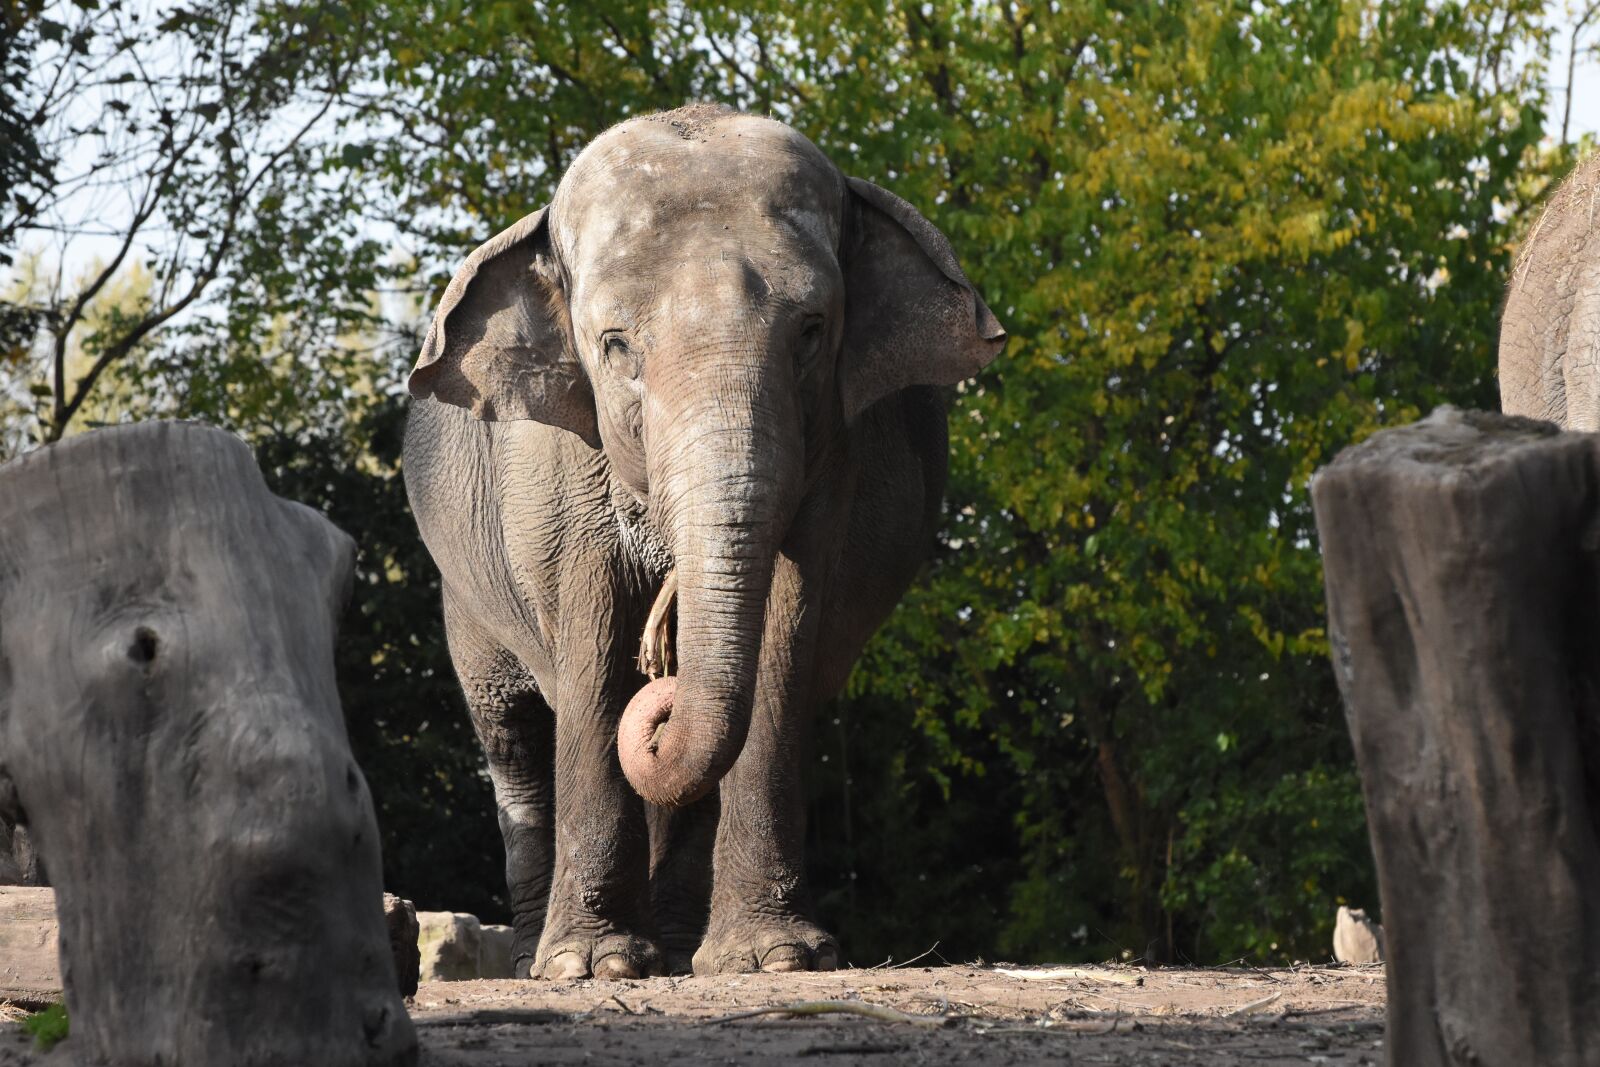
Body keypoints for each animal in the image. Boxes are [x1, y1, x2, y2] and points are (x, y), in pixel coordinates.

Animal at [404, 102, 1006, 979]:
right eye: (615, 344)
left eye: (812, 330)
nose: (666, 671)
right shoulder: (554, 469)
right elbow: (594, 643)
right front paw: (592, 966)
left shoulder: (833, 461)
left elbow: (783, 638)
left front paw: (775, 958)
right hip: (463, 586)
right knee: (510, 730)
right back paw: (537, 957)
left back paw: (683, 945)